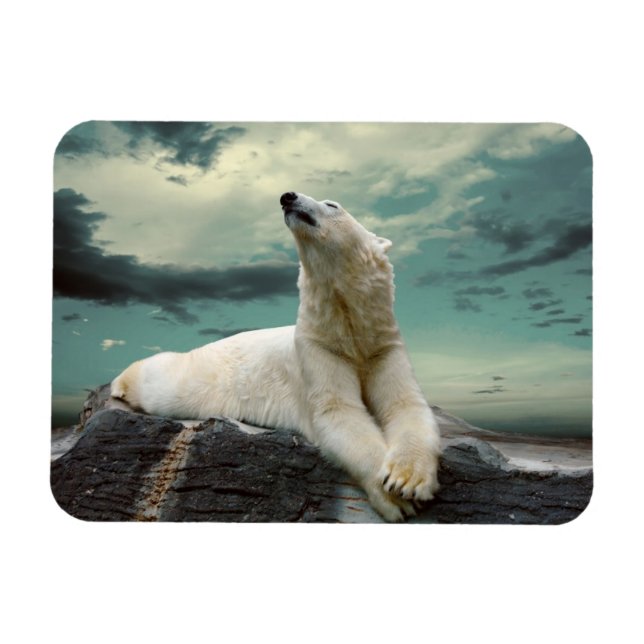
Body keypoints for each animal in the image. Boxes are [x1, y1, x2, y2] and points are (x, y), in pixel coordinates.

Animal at [111, 191, 441, 521]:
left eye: (332, 205)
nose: (288, 197)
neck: (348, 329)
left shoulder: (382, 346)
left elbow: (405, 404)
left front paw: (406, 480)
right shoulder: (317, 348)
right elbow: (339, 412)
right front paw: (395, 497)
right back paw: (120, 384)